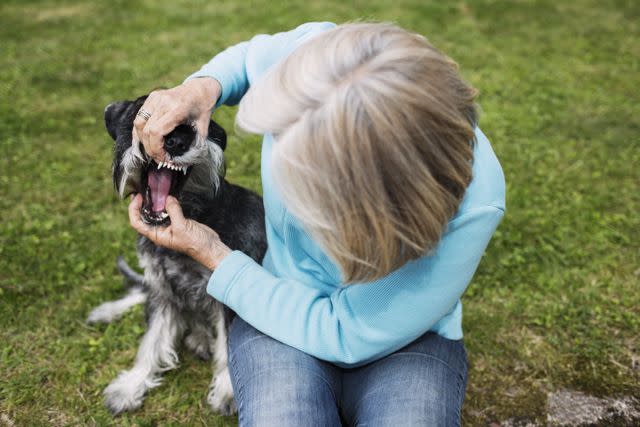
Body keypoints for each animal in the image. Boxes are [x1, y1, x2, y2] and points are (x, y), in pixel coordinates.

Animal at [86, 95, 266, 416]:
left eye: (195, 126)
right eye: (142, 115)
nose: (176, 142)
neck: (198, 211)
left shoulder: (227, 297)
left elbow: (228, 345)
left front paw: (227, 390)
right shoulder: (162, 289)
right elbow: (150, 342)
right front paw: (130, 386)